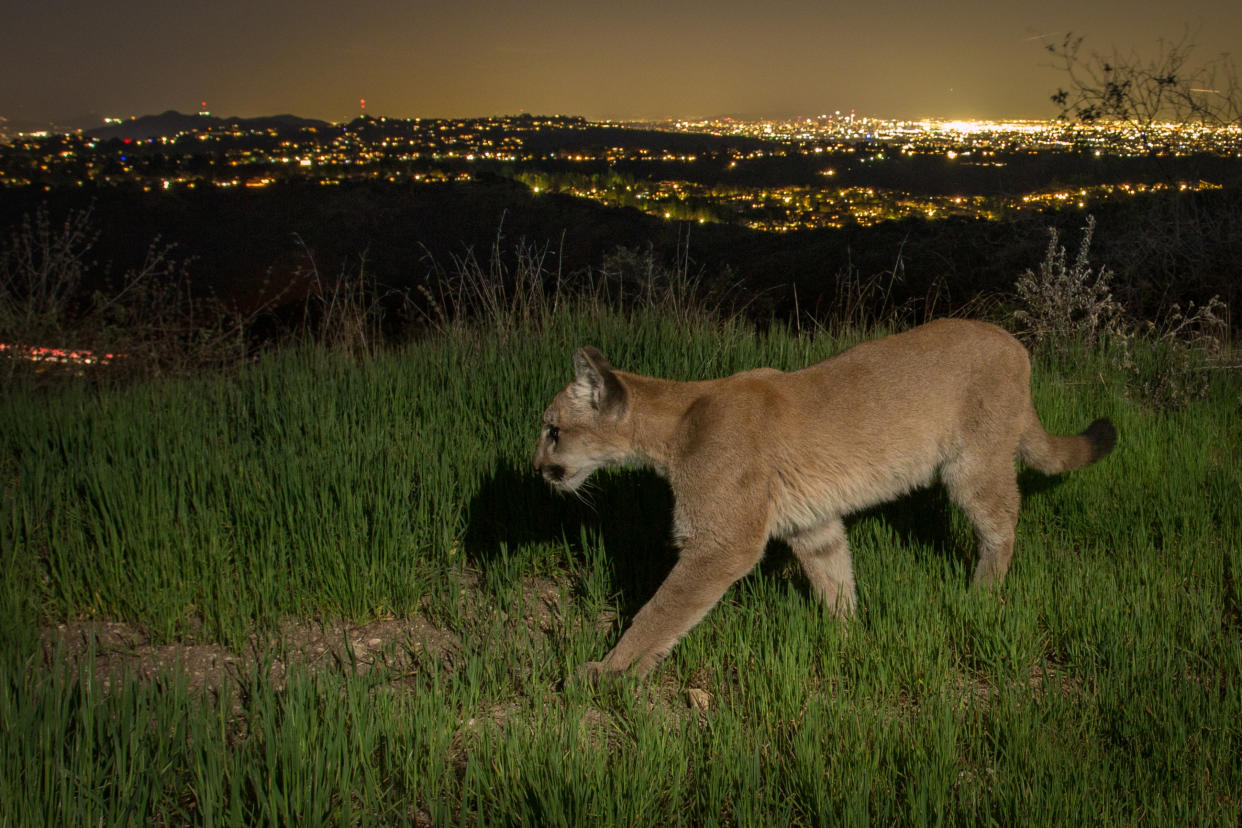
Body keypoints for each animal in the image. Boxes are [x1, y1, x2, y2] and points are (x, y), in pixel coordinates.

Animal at [531, 320, 1117, 680]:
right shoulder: (811, 525)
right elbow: (836, 577)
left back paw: (980, 597)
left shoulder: (721, 544)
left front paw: (607, 672)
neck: (677, 421)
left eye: (553, 431)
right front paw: (848, 638)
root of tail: (1015, 343)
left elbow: (660, 611)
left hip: (973, 464)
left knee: (1002, 525)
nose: (536, 468)